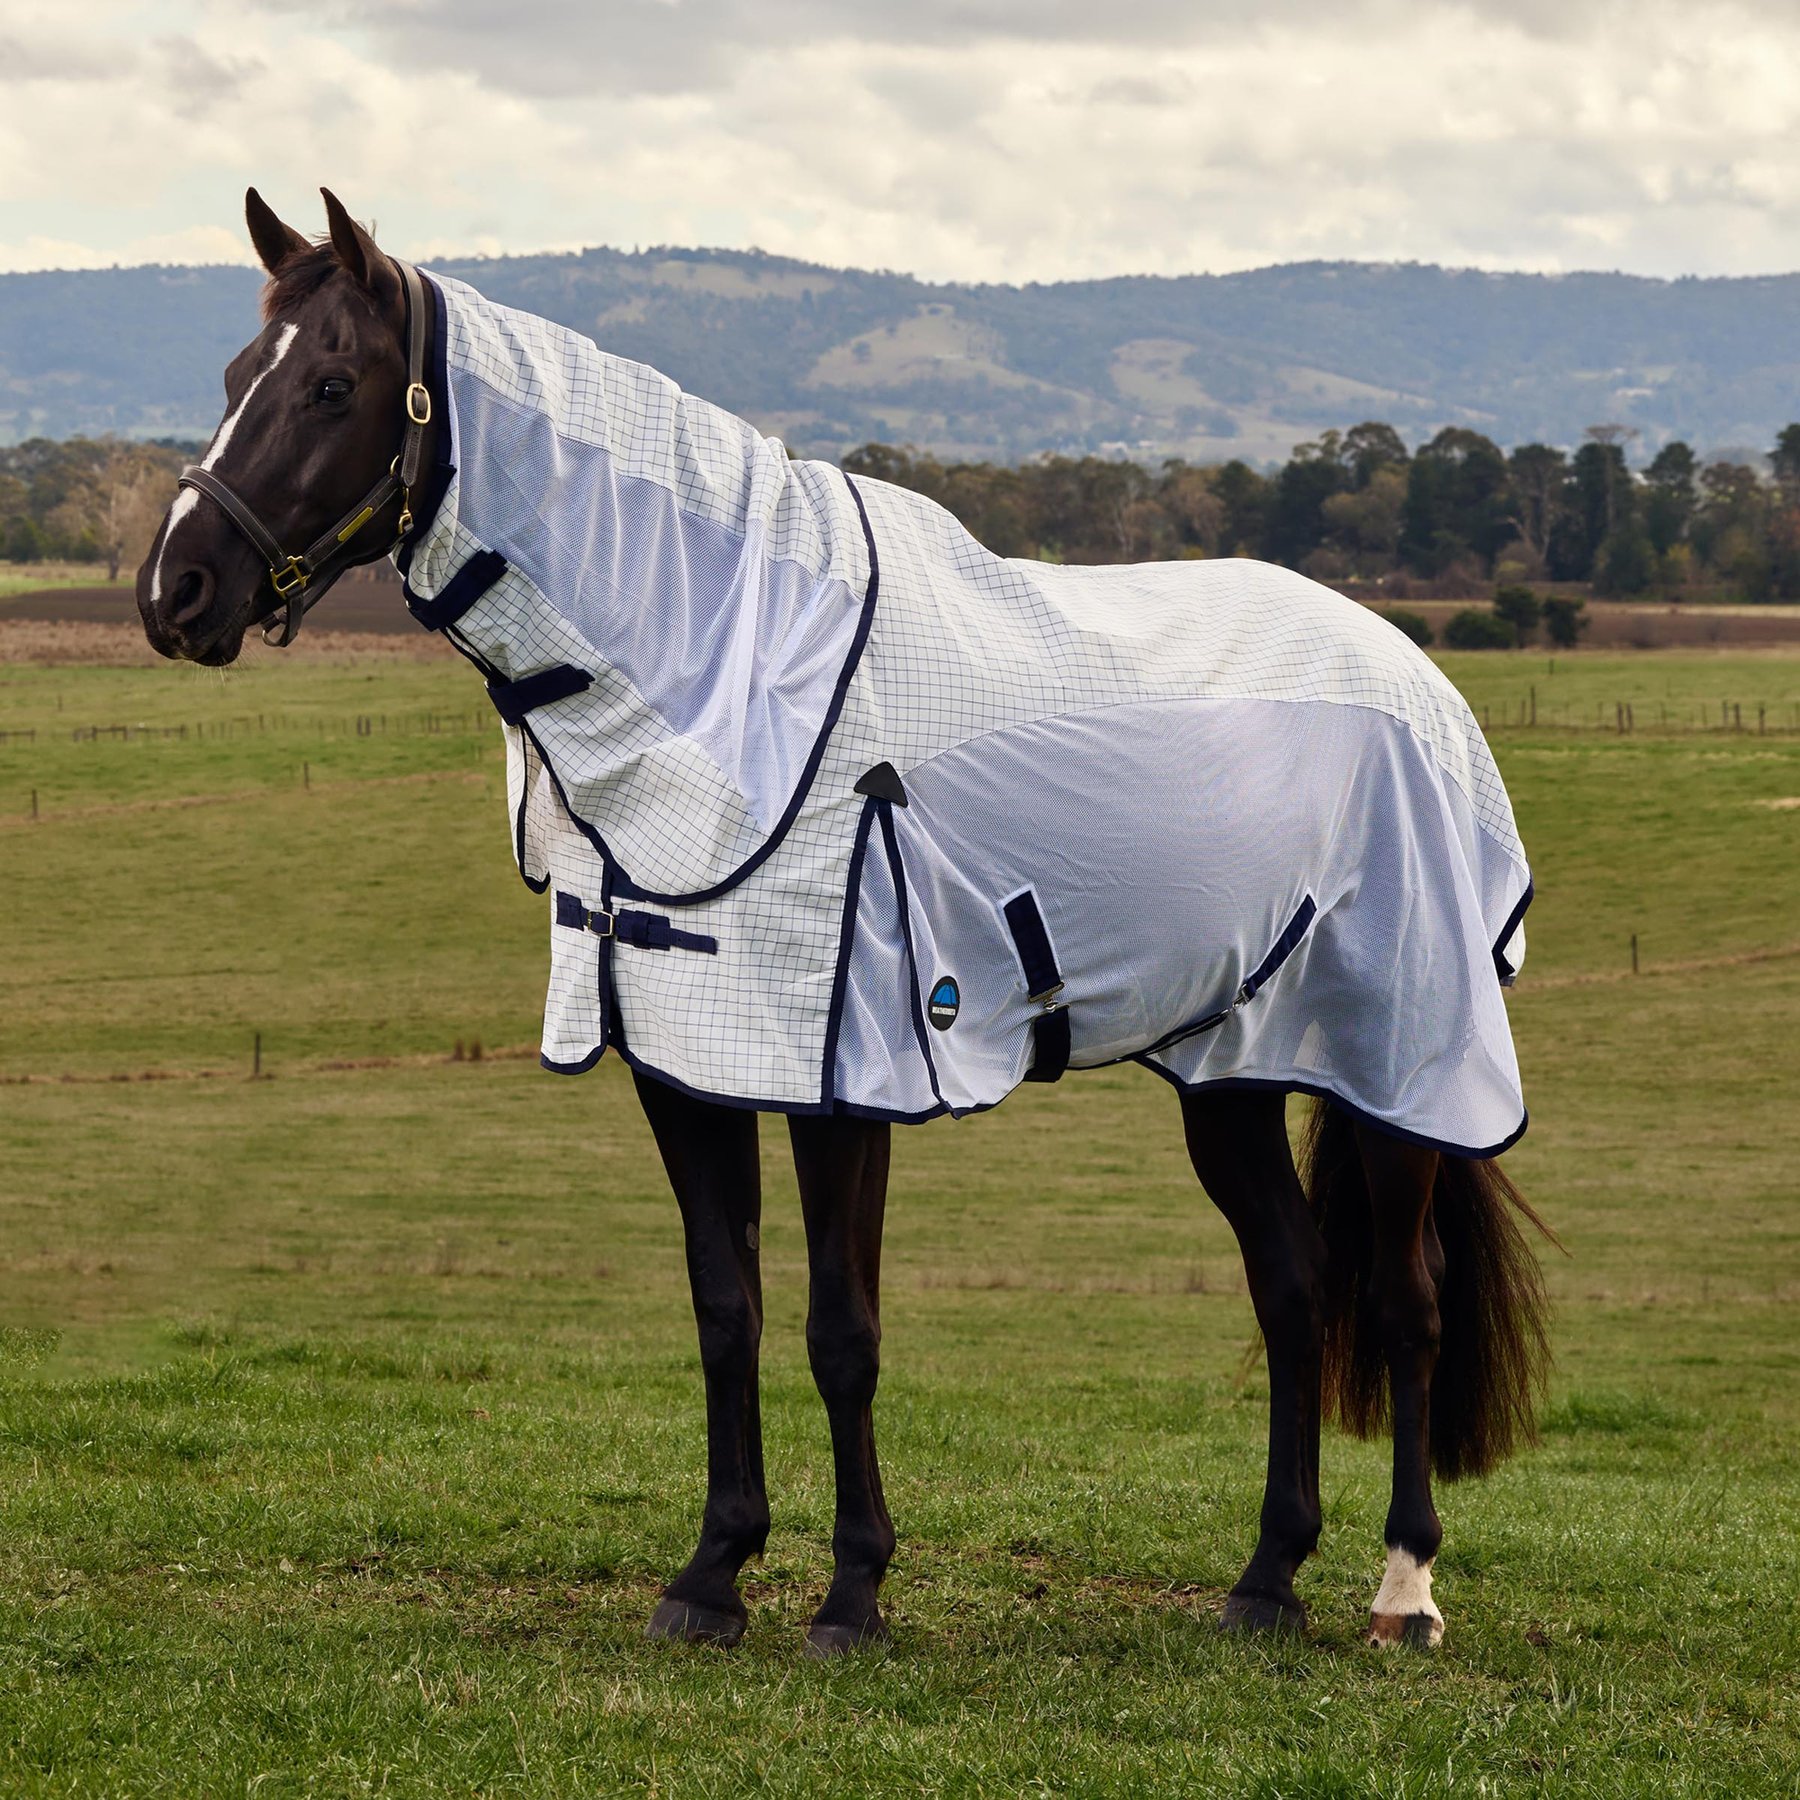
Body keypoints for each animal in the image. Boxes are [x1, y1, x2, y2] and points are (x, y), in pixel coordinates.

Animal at [137, 188, 1553, 1657]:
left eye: (331, 384)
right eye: (237, 380)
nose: (174, 594)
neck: (732, 662)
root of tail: (1414, 671)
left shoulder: (844, 1069)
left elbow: (841, 1329)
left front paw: (854, 1591)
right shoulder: (686, 1055)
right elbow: (727, 1309)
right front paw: (711, 1575)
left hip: (1397, 1056)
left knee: (1403, 1303)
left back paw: (1403, 1589)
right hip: (1234, 1061)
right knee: (1290, 1284)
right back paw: (1266, 1580)